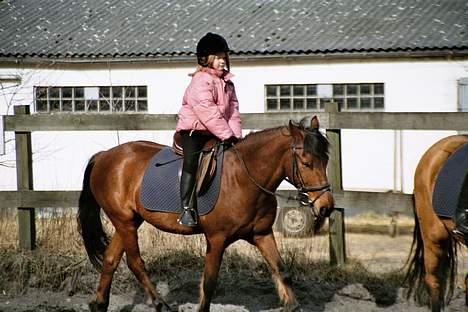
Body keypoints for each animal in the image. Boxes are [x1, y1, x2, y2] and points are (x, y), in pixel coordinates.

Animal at [77, 117, 332, 312]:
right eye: (306, 163)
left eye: (326, 160)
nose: (326, 207)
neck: (244, 179)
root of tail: (104, 155)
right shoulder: (217, 240)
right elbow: (209, 284)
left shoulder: (262, 234)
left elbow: (281, 271)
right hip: (124, 221)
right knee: (135, 262)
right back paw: (161, 305)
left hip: (128, 221)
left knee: (110, 259)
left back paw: (99, 304)